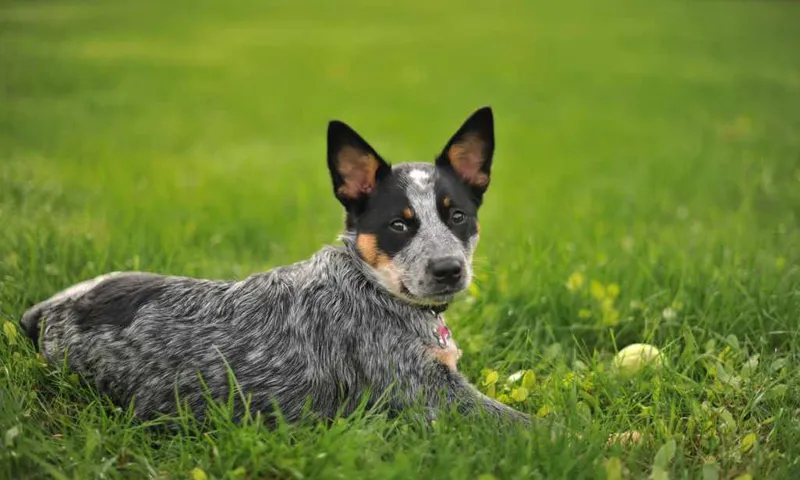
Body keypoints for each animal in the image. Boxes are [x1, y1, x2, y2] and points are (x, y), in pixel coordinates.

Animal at [18, 107, 532, 426]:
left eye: (457, 216)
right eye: (399, 225)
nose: (448, 269)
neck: (371, 286)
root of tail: (47, 311)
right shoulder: (434, 399)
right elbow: (533, 426)